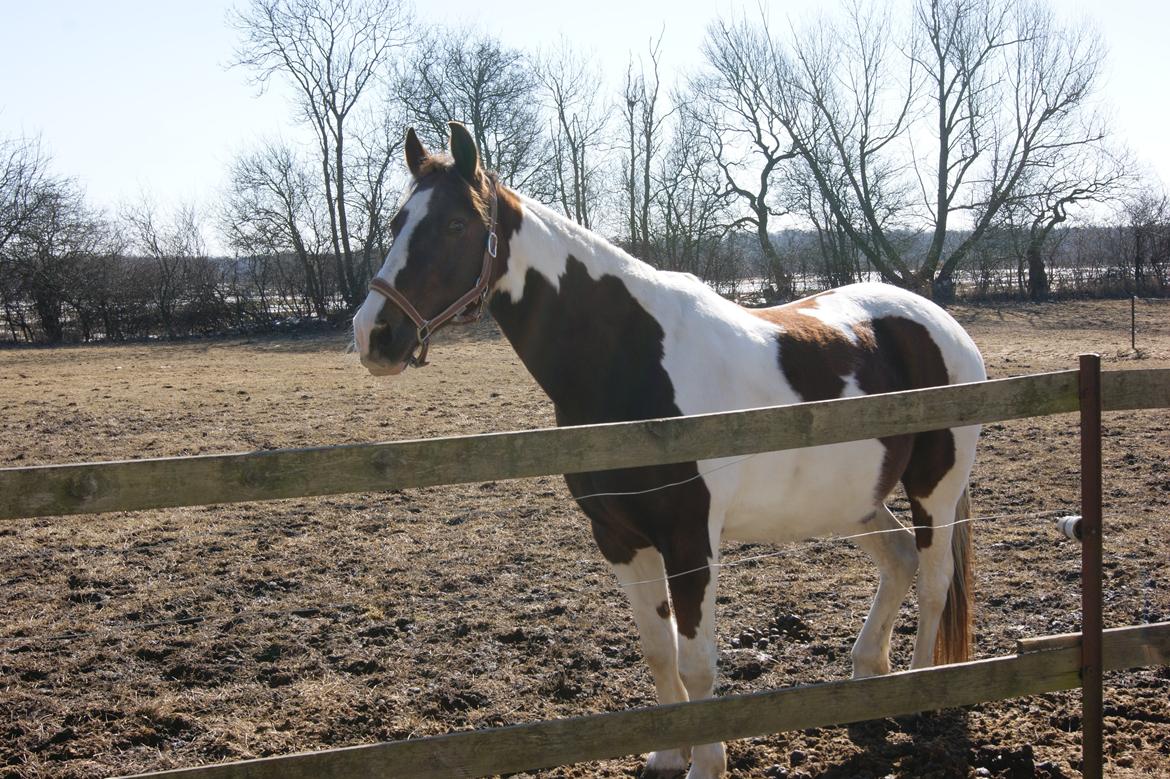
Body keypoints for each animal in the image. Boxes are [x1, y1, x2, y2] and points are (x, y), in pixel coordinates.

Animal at [351, 122, 982, 776]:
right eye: (397, 222)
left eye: (456, 224)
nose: (374, 334)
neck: (632, 363)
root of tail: (938, 320)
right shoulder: (619, 538)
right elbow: (658, 651)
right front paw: (667, 752)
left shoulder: (688, 539)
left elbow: (696, 662)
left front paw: (707, 763)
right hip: (853, 499)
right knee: (900, 560)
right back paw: (867, 679)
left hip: (936, 488)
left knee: (935, 578)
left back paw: (919, 694)